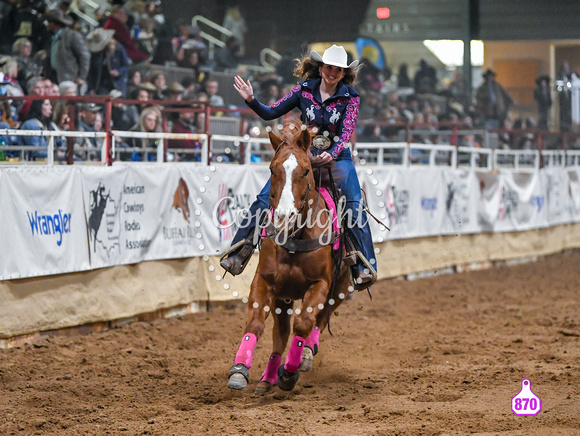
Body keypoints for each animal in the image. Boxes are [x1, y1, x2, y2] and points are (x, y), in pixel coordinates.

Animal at [229, 121, 352, 394]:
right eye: (272, 169)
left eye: (306, 171)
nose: (284, 216)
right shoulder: (264, 280)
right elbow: (256, 323)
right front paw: (240, 370)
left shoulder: (321, 284)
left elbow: (305, 322)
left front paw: (289, 372)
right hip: (283, 296)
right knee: (281, 332)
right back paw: (268, 377)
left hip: (342, 286)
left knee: (320, 319)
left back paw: (304, 356)